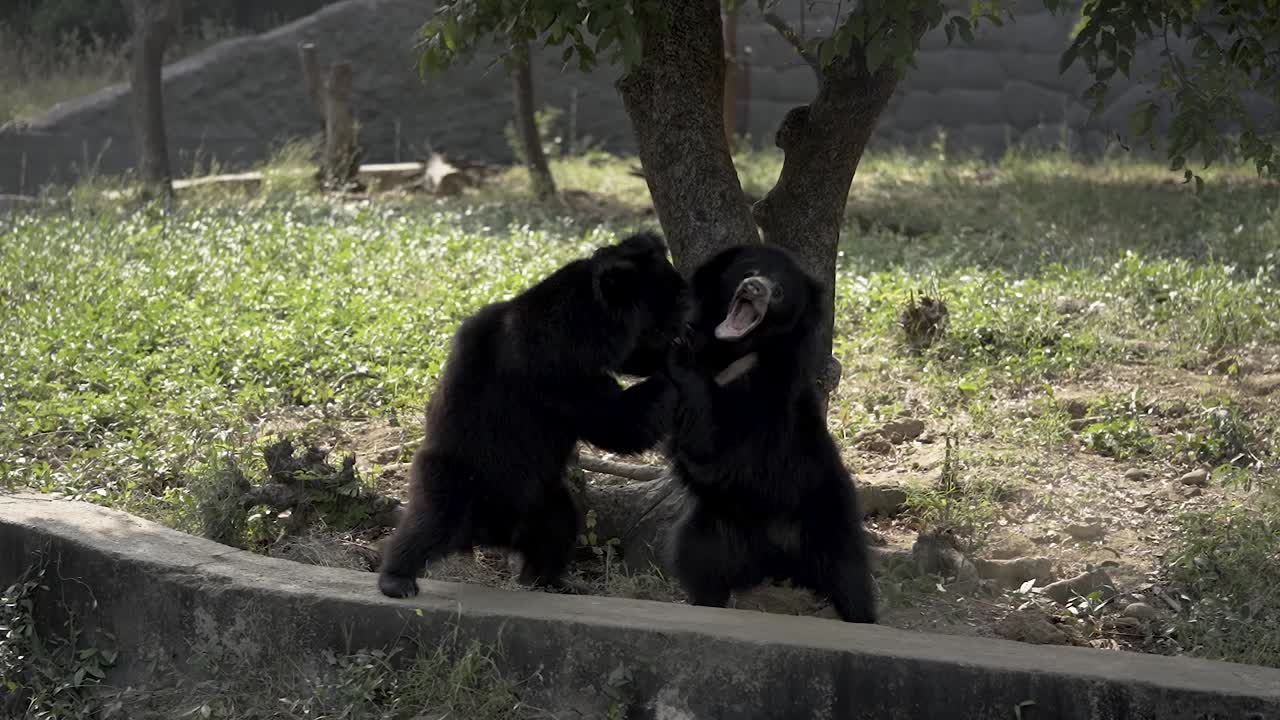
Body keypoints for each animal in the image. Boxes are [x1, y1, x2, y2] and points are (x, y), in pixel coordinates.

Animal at [378, 231, 689, 599]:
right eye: (671, 304)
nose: (688, 317)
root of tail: (488, 535)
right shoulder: (560, 378)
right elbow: (620, 423)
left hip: (543, 497)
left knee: (560, 527)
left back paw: (553, 579)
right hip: (454, 479)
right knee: (427, 525)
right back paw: (397, 578)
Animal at [663, 243, 876, 623]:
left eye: (778, 293)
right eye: (749, 272)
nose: (755, 288)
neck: (734, 350)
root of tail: (777, 562)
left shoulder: (768, 396)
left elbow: (715, 444)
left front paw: (683, 351)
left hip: (830, 523)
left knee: (851, 580)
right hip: (710, 533)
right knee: (696, 565)